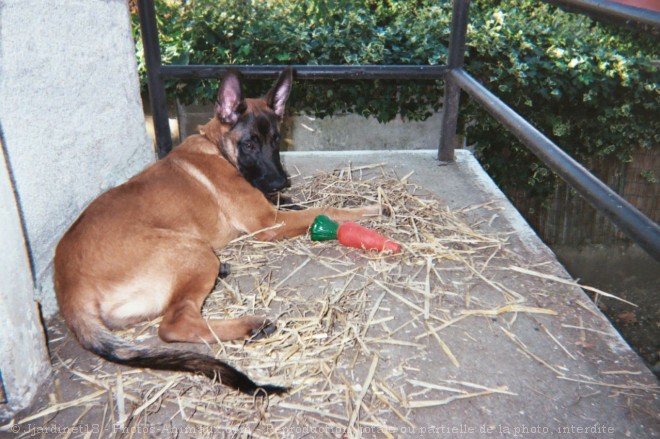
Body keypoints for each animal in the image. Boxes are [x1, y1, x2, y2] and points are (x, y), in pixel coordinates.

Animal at [54, 68, 384, 396]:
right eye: (249, 144)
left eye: (276, 140)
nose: (281, 182)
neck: (216, 147)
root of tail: (69, 290)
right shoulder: (268, 221)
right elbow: (321, 211)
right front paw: (369, 209)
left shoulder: (271, 207)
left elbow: (302, 205)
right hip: (193, 252)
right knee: (175, 325)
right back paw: (249, 325)